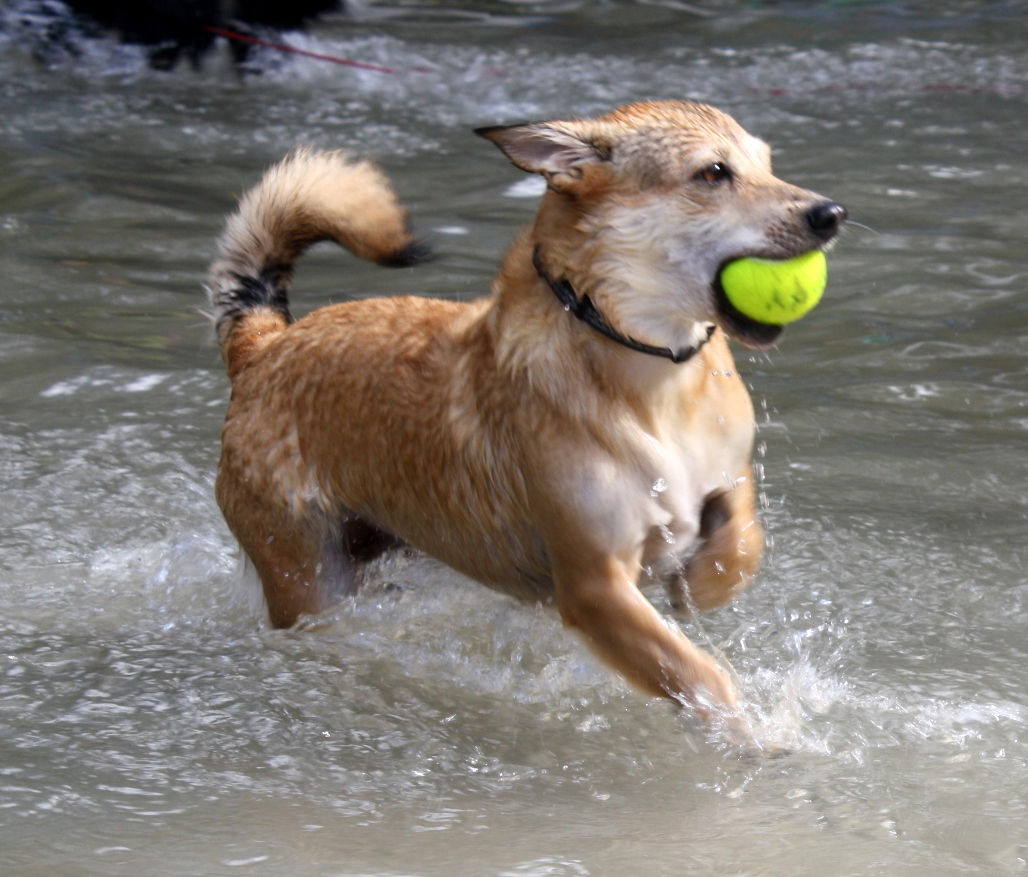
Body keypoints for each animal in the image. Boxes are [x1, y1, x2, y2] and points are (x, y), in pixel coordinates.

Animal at [206, 99, 842, 723]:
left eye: (767, 164)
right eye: (712, 173)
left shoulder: (727, 475)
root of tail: (263, 346)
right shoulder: (595, 584)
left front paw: (702, 584)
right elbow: (694, 673)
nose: (831, 213)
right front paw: (748, 730)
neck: (657, 378)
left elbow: (742, 541)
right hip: (307, 572)